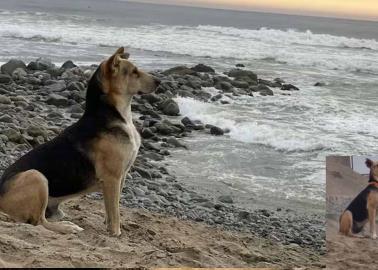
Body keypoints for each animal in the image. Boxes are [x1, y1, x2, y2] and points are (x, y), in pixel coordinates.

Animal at [0, 47, 160, 235]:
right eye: (134, 72)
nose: (159, 81)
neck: (115, 115)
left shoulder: (121, 176)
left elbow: (112, 208)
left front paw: (109, 225)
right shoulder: (112, 178)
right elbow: (115, 211)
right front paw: (116, 232)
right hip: (36, 176)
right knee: (39, 222)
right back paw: (67, 227)